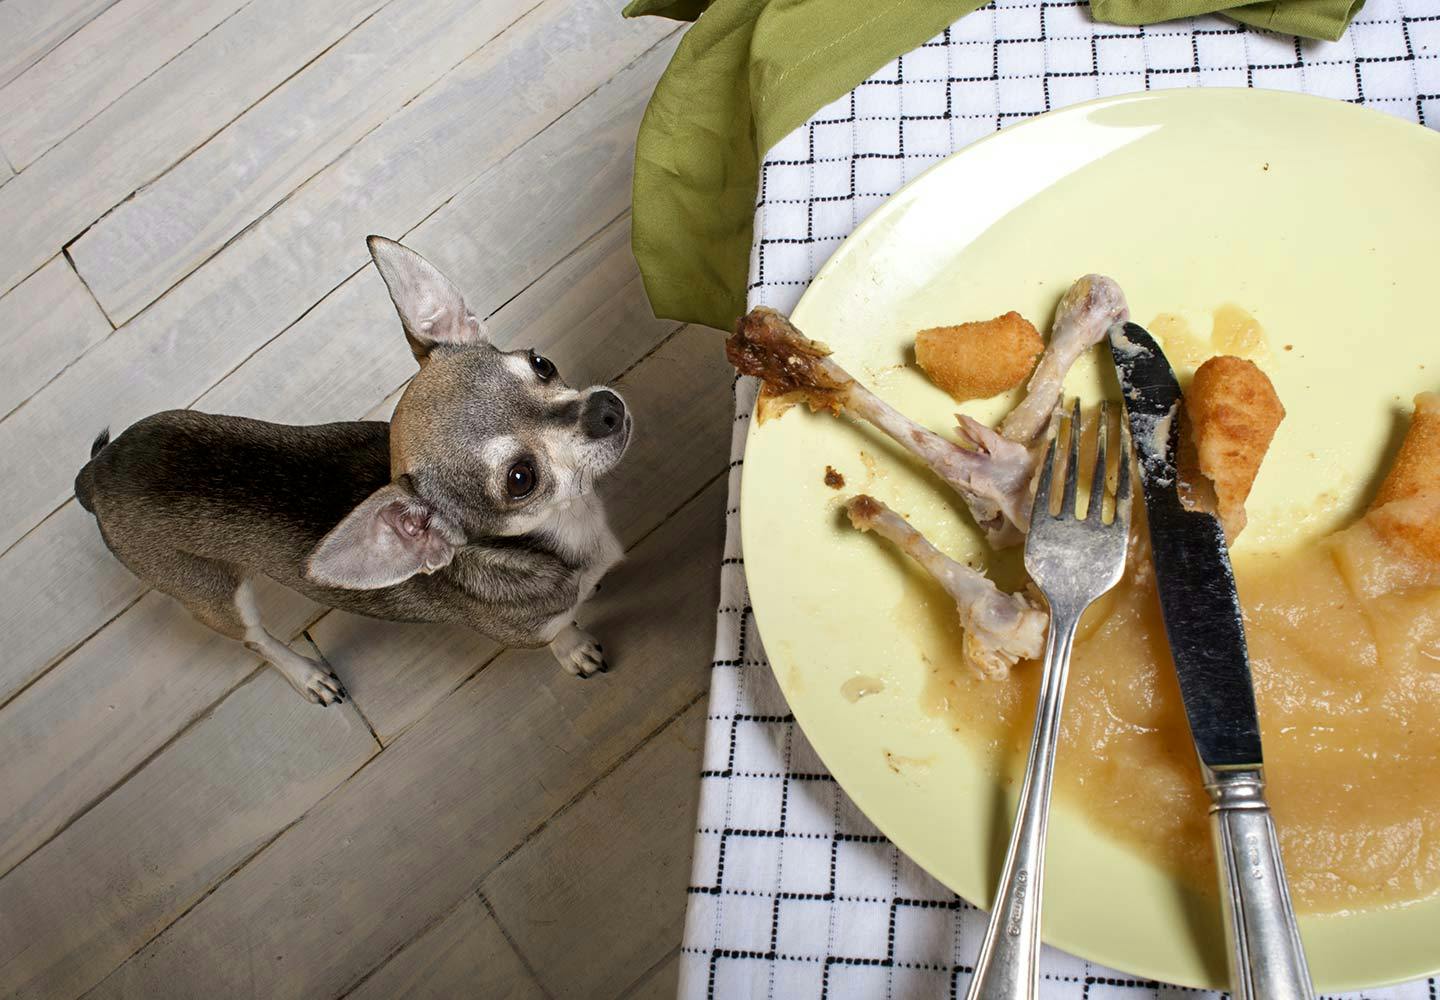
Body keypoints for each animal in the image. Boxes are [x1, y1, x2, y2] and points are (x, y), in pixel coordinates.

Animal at [74, 236, 630, 706]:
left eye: (541, 364)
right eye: (520, 479)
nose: (607, 409)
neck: (570, 526)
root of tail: (96, 473)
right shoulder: (533, 630)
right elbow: (560, 633)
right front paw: (574, 647)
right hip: (214, 597)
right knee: (256, 641)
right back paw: (307, 675)